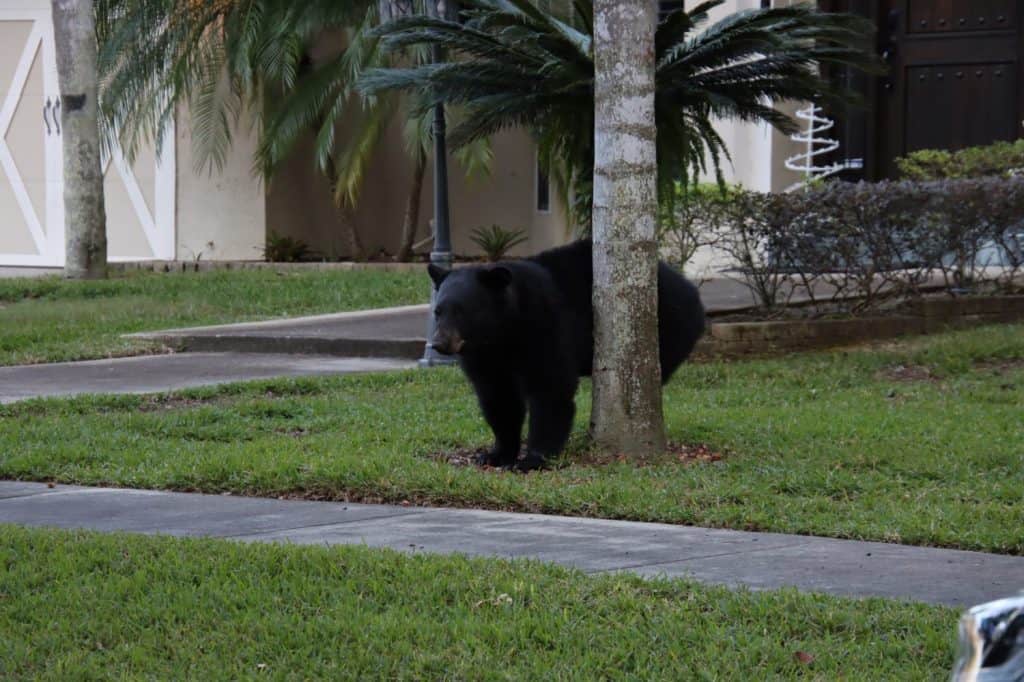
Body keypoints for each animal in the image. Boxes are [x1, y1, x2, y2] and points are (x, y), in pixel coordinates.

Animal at [428, 238, 705, 471]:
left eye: (462, 310)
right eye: (438, 311)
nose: (438, 343)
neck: (502, 331)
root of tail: (690, 288)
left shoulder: (544, 323)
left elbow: (550, 388)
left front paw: (532, 459)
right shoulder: (484, 355)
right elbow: (498, 397)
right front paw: (496, 454)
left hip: (667, 321)